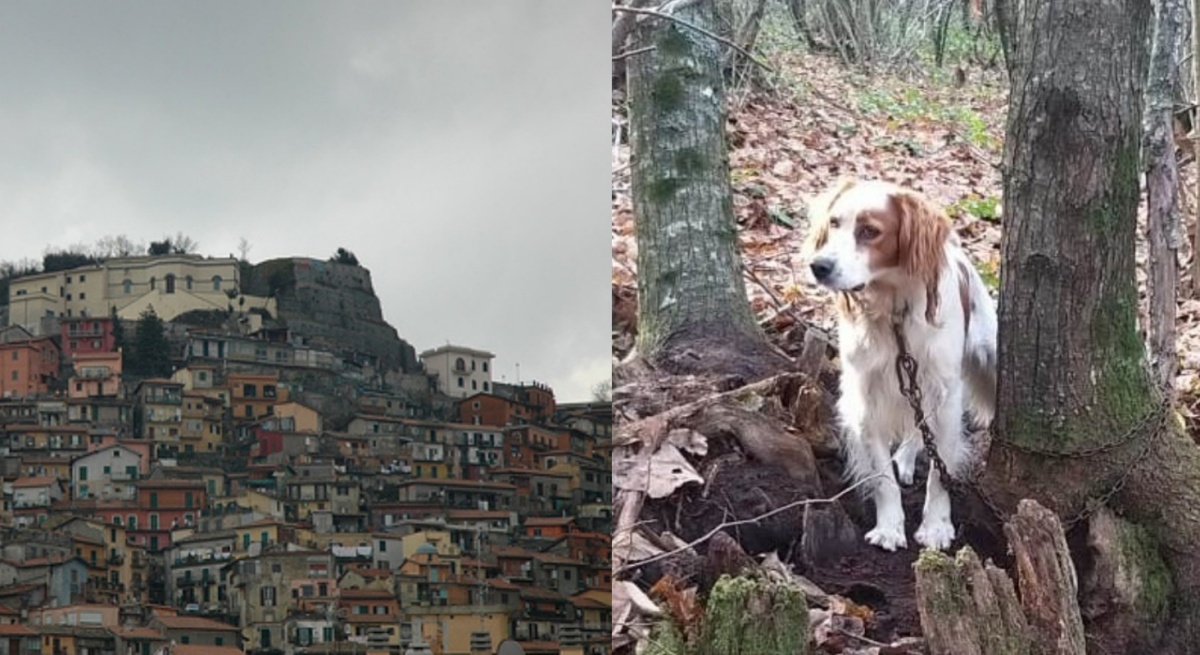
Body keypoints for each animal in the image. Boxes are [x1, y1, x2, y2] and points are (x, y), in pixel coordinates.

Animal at [806, 178, 993, 551]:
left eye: (869, 231)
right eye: (834, 223)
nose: (818, 266)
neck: (895, 312)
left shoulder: (945, 396)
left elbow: (939, 472)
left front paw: (936, 526)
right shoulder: (867, 398)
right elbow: (882, 478)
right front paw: (889, 528)